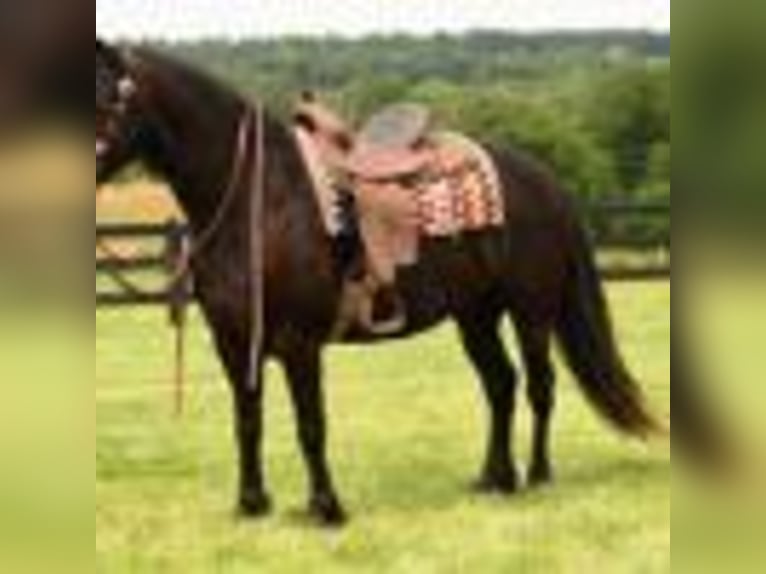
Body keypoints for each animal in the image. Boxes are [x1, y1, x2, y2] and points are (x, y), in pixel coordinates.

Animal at [95, 40, 659, 525]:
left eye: (104, 96)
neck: (260, 200)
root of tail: (547, 182)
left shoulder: (299, 343)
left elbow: (311, 426)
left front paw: (326, 508)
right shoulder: (234, 344)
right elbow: (247, 423)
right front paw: (251, 504)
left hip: (531, 312)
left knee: (540, 386)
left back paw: (538, 475)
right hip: (475, 315)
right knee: (501, 384)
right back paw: (494, 478)